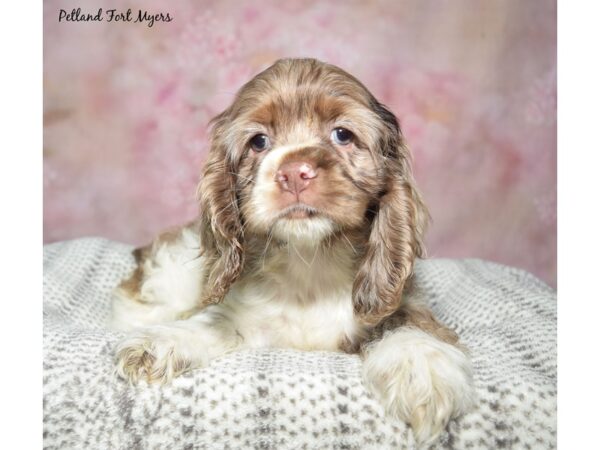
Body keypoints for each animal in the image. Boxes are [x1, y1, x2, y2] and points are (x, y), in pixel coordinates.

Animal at [112, 58, 476, 444]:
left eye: (342, 135)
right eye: (258, 142)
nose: (293, 172)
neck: (311, 260)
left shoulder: (398, 300)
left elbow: (408, 323)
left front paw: (423, 367)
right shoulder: (249, 319)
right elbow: (216, 323)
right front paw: (160, 343)